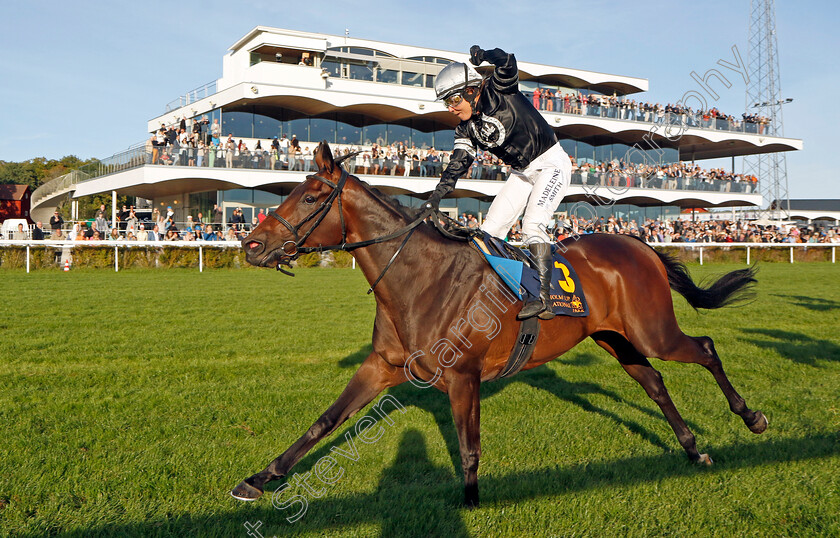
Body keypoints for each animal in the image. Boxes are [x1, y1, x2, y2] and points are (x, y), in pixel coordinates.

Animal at [233, 140, 764, 504]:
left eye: (311, 197)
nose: (251, 244)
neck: (418, 279)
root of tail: (638, 243)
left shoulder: (463, 376)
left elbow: (469, 447)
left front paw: (469, 503)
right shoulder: (381, 365)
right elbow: (324, 422)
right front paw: (259, 479)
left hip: (653, 332)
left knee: (705, 347)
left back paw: (750, 417)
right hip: (616, 337)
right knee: (654, 382)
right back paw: (692, 448)